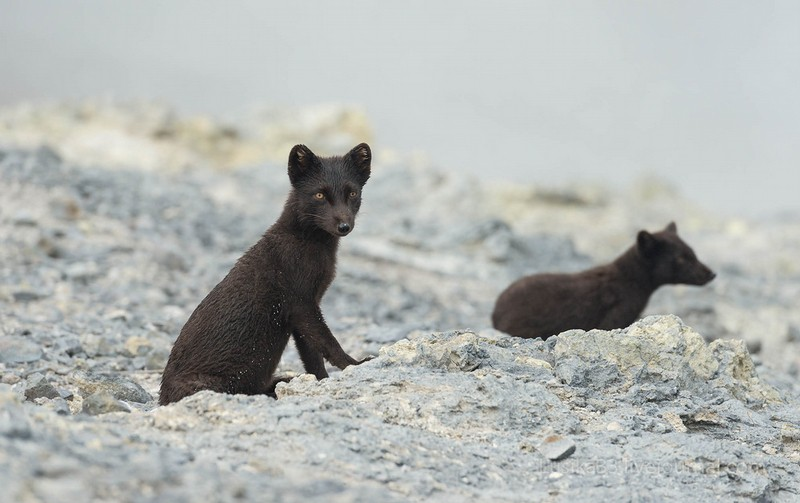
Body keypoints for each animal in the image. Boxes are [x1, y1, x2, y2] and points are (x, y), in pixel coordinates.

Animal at [162, 143, 376, 406]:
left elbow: (312, 356)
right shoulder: (301, 301)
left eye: (353, 193)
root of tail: (161, 396)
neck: (310, 250)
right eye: (319, 195)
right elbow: (328, 343)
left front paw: (323, 382)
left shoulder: (303, 309)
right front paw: (356, 364)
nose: (344, 226)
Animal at [490, 224, 716, 342]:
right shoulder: (616, 315)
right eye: (681, 258)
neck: (629, 283)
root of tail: (495, 313)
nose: (711, 273)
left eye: (693, 252)